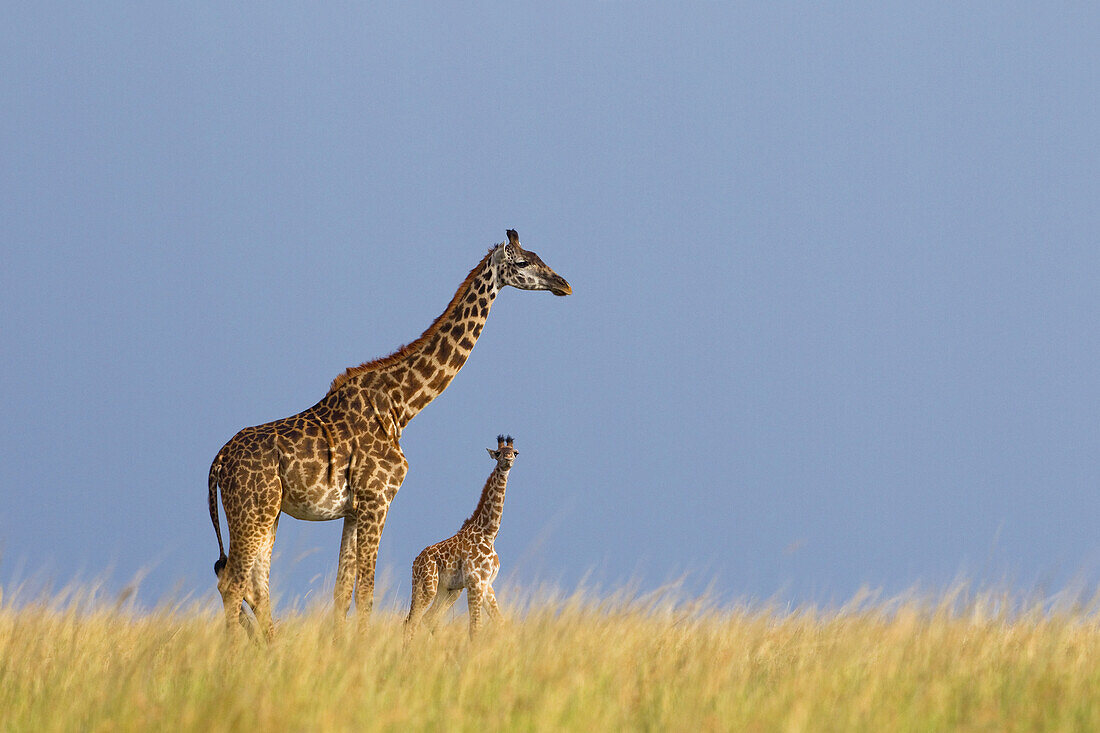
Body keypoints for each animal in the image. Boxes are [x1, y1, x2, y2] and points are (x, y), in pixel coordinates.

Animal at [407, 433, 517, 638]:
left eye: (515, 452)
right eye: (498, 453)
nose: (507, 460)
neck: (489, 533)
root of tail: (415, 562)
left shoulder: (487, 584)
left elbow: (500, 623)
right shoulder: (474, 582)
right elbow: (475, 628)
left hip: (448, 591)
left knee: (428, 619)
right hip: (426, 585)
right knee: (411, 621)